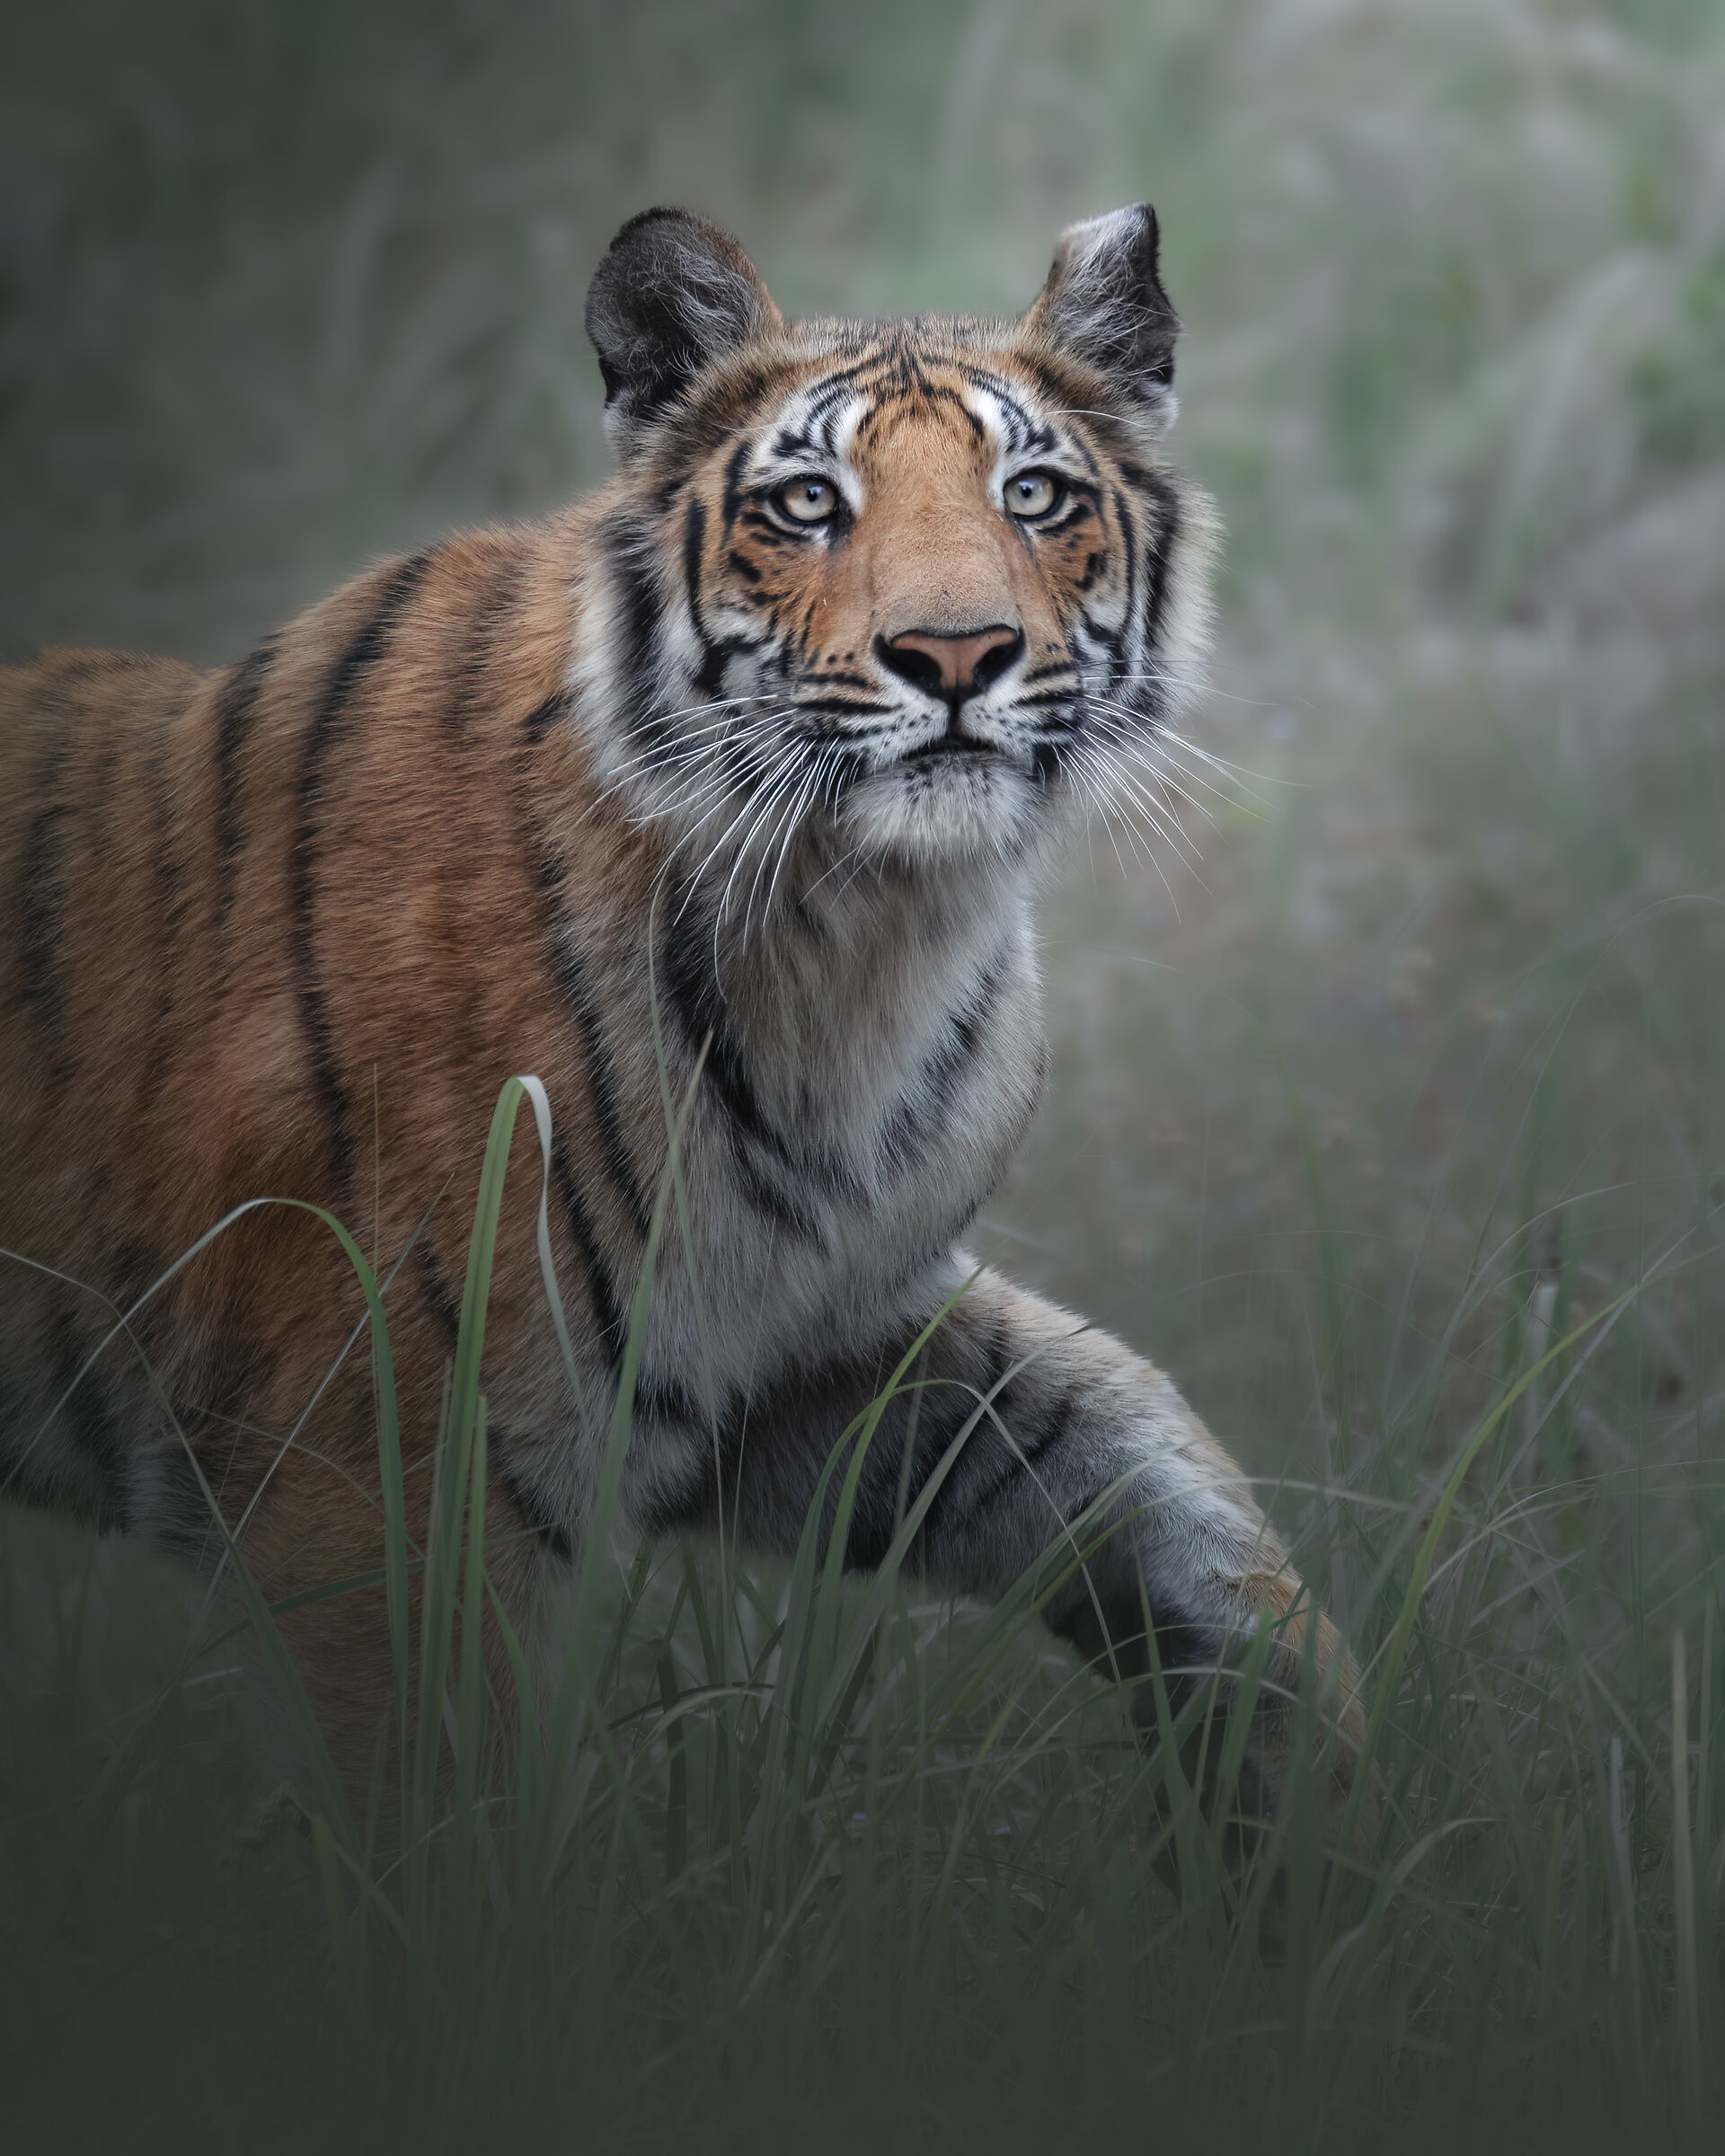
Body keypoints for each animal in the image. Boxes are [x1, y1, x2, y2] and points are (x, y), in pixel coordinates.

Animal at [0, 204, 1368, 1836]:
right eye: (807, 503)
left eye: (1033, 494)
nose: (957, 655)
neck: (866, 938)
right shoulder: (371, 1477)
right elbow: (448, 1823)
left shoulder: (808, 1343)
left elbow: (1156, 1488)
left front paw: (1336, 1826)